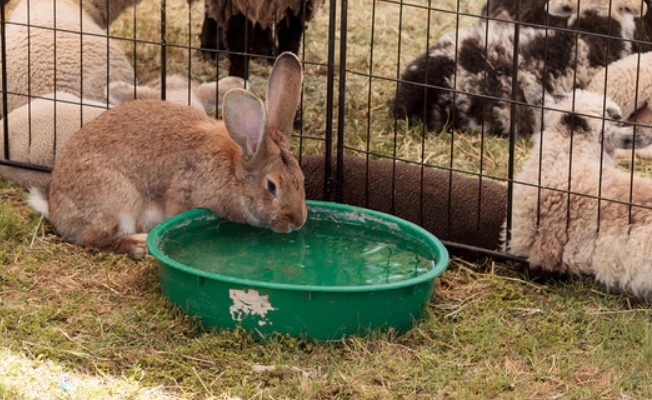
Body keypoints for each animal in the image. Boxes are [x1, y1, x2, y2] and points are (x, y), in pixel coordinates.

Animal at [28, 52, 307, 260]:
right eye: (271, 186)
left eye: (301, 180)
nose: (298, 221)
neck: (233, 174)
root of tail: (56, 211)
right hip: (118, 201)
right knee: (95, 240)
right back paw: (139, 245)